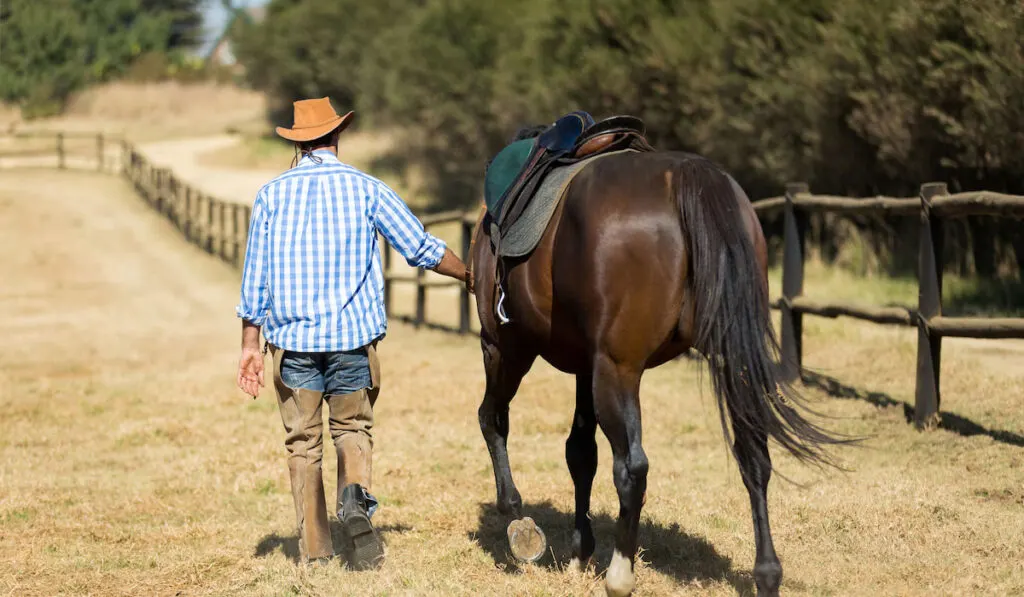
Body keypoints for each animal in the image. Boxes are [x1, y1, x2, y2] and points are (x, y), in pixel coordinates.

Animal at [468, 143, 843, 597]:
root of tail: (685, 175)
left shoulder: (508, 347)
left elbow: (496, 421)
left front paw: (518, 521)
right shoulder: (585, 366)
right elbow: (580, 452)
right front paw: (579, 550)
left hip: (607, 369)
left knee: (630, 466)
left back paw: (620, 574)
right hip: (728, 363)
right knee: (754, 456)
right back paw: (767, 574)